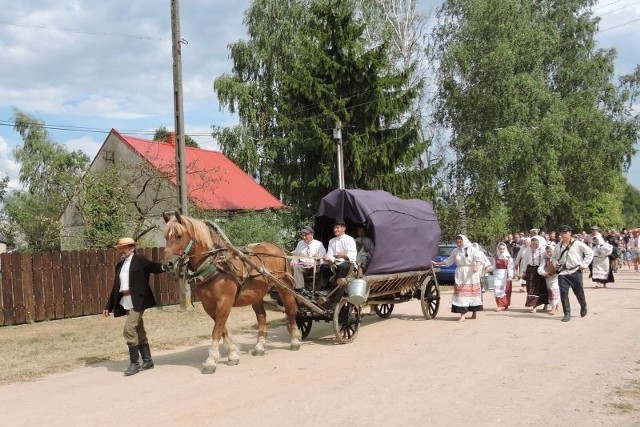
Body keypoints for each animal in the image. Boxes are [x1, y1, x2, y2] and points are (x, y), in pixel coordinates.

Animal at [160, 211, 300, 374]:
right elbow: (222, 329)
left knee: (290, 310)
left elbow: (216, 330)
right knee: (261, 317)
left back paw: (295, 340)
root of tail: (275, 246)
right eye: (166, 236)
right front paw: (232, 354)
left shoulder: (224, 302)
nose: (167, 264)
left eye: (179, 235)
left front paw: (211, 361)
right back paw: (260, 346)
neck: (215, 265)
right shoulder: (209, 305)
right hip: (256, 294)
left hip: (283, 287)